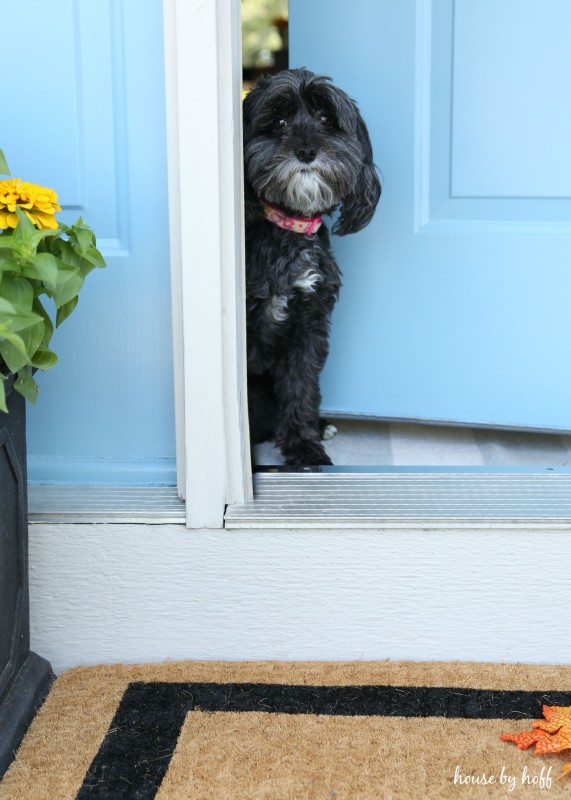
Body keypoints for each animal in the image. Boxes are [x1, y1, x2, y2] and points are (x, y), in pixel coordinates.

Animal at [244, 71, 382, 466]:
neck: (289, 232)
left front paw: (305, 447)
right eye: (278, 122)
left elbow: (302, 386)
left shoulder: (310, 325)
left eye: (325, 119)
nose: (306, 151)